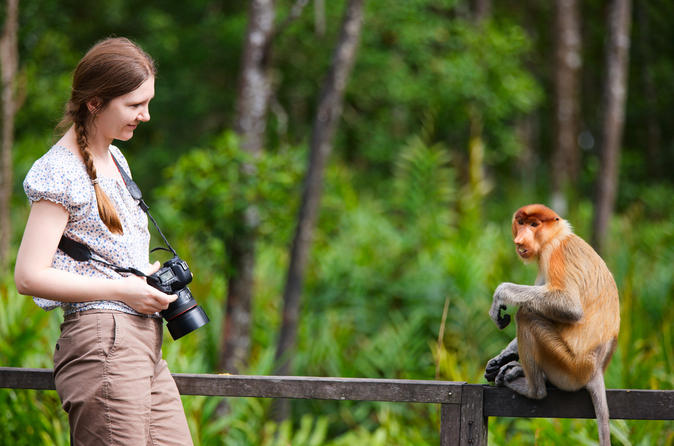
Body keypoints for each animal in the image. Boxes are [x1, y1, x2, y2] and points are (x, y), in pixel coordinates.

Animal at [484, 204, 620, 444]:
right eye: (521, 223)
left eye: (534, 225)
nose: (520, 239)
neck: (556, 237)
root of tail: (595, 371)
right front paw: (501, 358)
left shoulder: (554, 254)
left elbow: (570, 307)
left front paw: (501, 294)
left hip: (568, 366)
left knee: (527, 315)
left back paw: (532, 388)